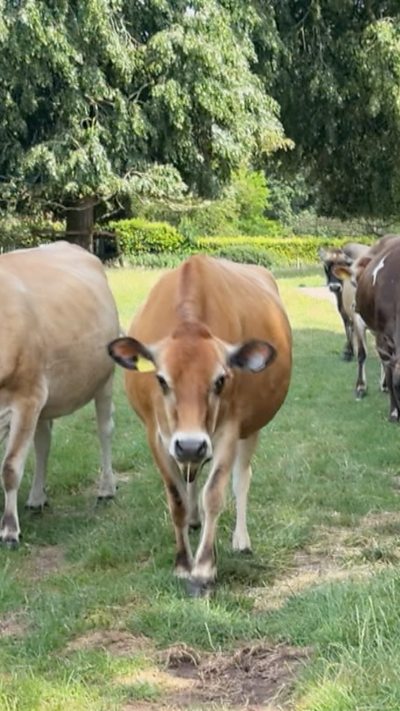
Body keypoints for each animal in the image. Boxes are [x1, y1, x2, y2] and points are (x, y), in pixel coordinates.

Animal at [0, 241, 120, 546]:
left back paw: (106, 489)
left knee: (105, 430)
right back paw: (36, 497)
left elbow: (10, 468)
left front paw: (9, 530)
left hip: (104, 379)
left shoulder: (26, 398)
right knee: (43, 443)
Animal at [108, 254, 292, 596]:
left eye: (220, 380)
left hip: (250, 428)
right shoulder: (158, 436)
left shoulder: (230, 430)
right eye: (161, 379)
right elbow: (177, 499)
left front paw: (204, 568)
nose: (191, 443)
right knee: (190, 475)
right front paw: (183, 564)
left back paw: (240, 539)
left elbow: (215, 494)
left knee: (240, 478)